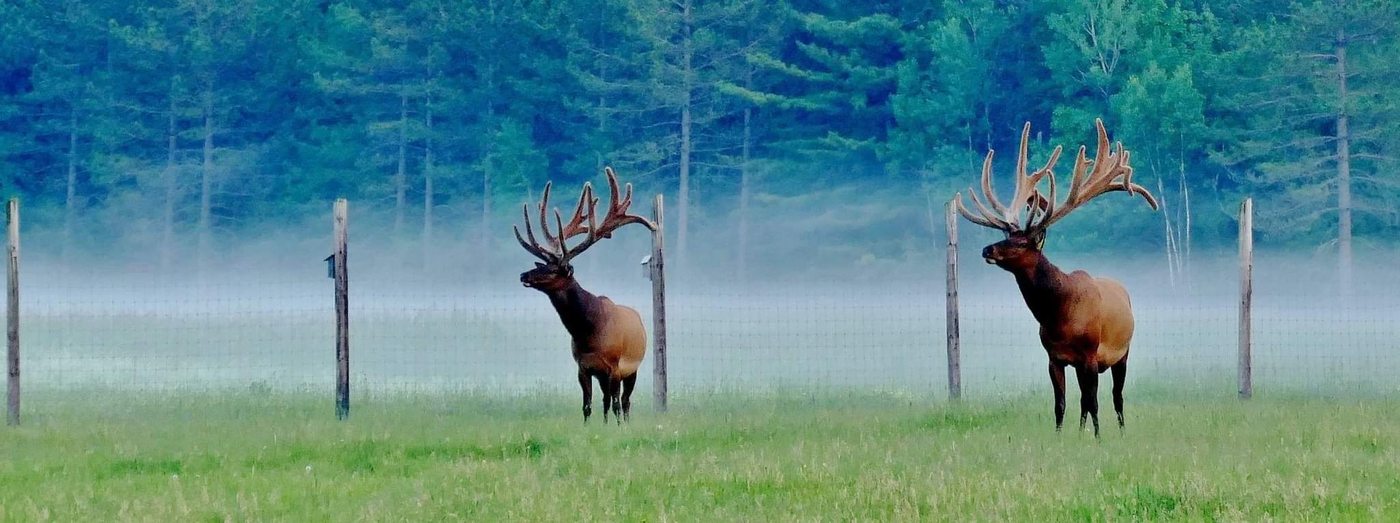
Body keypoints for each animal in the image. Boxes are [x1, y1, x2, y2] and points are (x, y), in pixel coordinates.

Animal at [514, 167, 656, 424]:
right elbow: (588, 405)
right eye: (542, 265)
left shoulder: (615, 367)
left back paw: (625, 422)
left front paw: (617, 428)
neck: (589, 332)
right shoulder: (583, 368)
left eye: (553, 269)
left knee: (625, 401)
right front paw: (591, 426)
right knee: (608, 400)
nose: (523, 274)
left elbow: (615, 403)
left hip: (633, 368)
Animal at [955, 119, 1158, 437]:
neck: (1058, 313)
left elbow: (1094, 401)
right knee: (1086, 399)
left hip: (1122, 354)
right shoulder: (1054, 357)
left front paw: (1098, 438)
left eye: (1021, 243)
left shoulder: (1090, 354)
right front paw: (1062, 436)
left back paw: (1121, 431)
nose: (987, 249)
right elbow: (1061, 403)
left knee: (1116, 397)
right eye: (1006, 235)